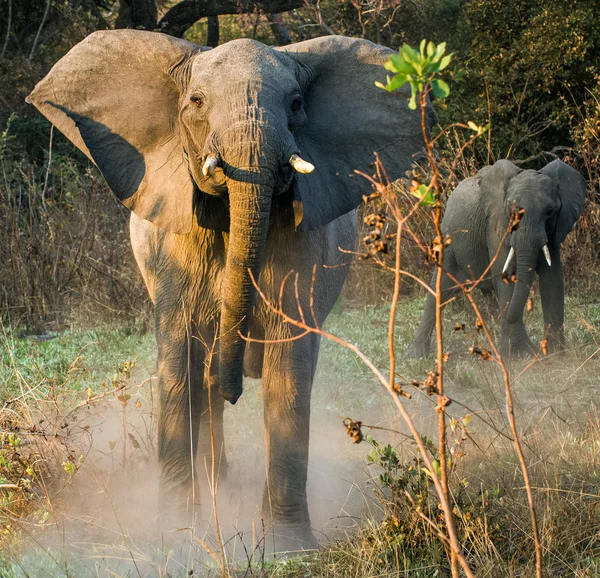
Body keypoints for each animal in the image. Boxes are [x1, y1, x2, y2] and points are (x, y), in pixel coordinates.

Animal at [27, 30, 432, 544]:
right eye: (196, 101)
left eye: (297, 103)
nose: (235, 388)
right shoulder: (174, 246)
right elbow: (179, 360)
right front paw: (178, 537)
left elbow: (288, 364)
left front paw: (288, 547)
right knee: (201, 381)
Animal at [408, 158, 584, 356]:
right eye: (510, 211)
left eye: (550, 211)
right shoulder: (496, 228)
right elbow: (504, 276)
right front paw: (519, 355)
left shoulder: (553, 232)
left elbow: (553, 280)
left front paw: (555, 354)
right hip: (449, 239)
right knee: (440, 288)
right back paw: (417, 355)